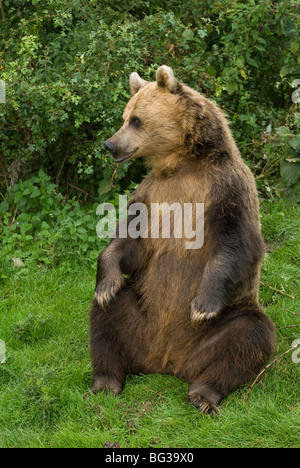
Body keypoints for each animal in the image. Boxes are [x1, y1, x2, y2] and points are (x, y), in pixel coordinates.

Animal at [89, 66, 276, 414]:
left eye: (136, 120)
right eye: (124, 116)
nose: (110, 144)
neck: (183, 163)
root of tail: (167, 361)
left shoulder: (226, 188)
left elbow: (237, 243)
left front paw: (202, 305)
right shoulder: (152, 196)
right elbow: (129, 242)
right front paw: (107, 281)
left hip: (228, 317)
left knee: (248, 335)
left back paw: (203, 394)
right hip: (140, 313)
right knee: (106, 317)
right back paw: (106, 380)